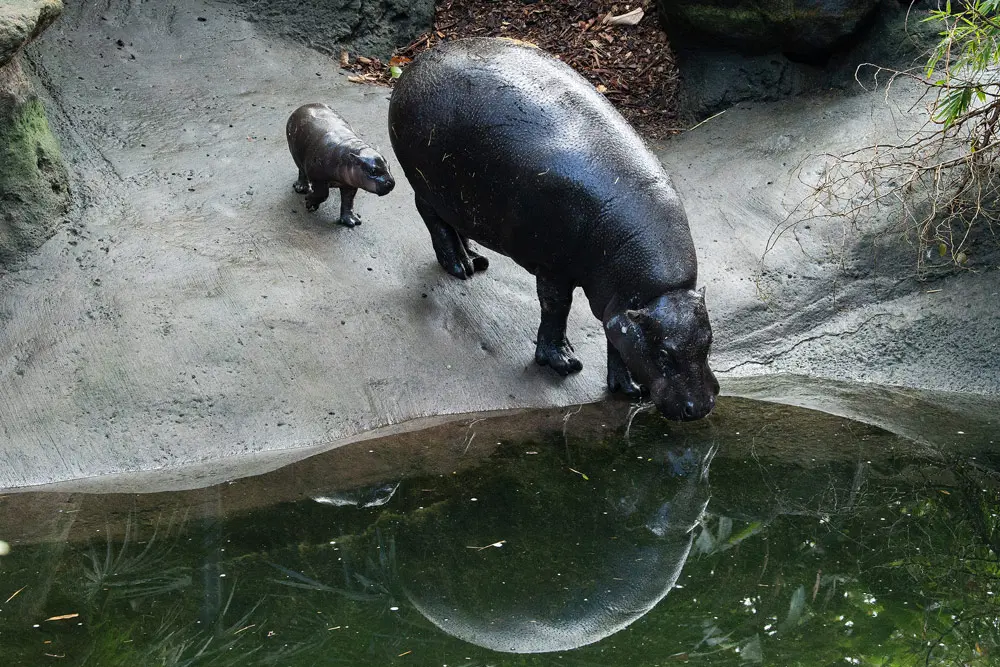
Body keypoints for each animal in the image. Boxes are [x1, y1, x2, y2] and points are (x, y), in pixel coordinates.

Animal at [388, 38, 718, 421]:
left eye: (709, 342)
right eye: (664, 353)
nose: (701, 406)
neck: (657, 291)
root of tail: (415, 63)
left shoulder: (621, 302)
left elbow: (617, 334)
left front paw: (629, 387)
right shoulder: (554, 269)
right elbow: (556, 309)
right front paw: (563, 362)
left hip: (459, 198)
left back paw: (475, 258)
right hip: (427, 184)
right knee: (432, 218)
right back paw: (460, 266)